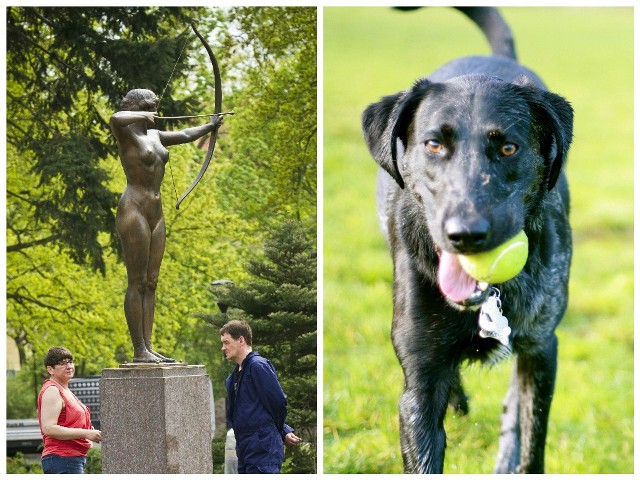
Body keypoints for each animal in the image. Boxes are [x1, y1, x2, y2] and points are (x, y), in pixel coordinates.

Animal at [362, 6, 572, 472]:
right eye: (433, 145)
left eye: (509, 148)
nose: (466, 235)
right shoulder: (419, 388)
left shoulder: (541, 350)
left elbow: (532, 442)